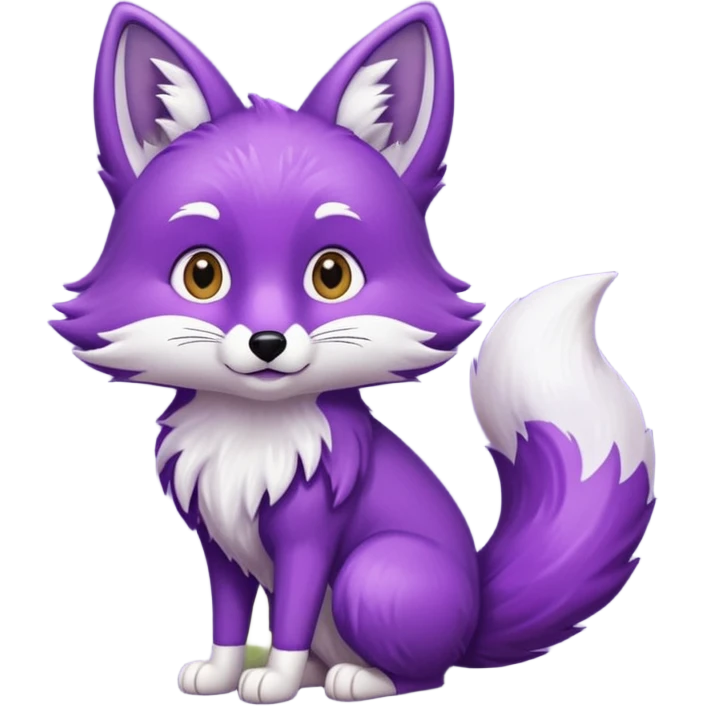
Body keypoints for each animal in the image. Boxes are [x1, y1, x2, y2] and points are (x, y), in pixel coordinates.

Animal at [53, 1, 657, 701]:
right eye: (202, 275)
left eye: (332, 275)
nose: (267, 341)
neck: (250, 436)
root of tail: (475, 620)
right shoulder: (219, 544)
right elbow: (229, 621)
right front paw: (220, 675)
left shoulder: (310, 535)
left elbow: (288, 619)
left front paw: (273, 683)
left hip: (375, 572)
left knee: (421, 677)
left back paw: (360, 680)